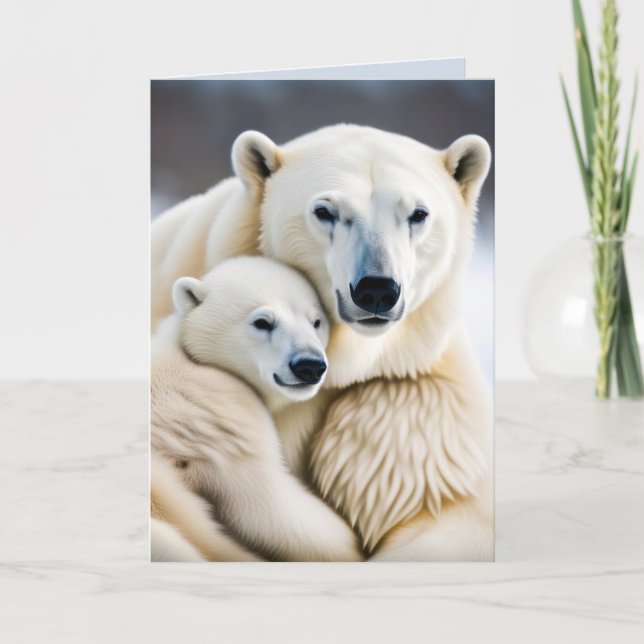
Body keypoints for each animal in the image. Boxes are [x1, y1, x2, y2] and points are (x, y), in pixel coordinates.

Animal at [151, 255, 362, 561]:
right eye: (262, 322)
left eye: (316, 322)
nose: (309, 365)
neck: (195, 359)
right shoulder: (230, 413)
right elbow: (268, 507)